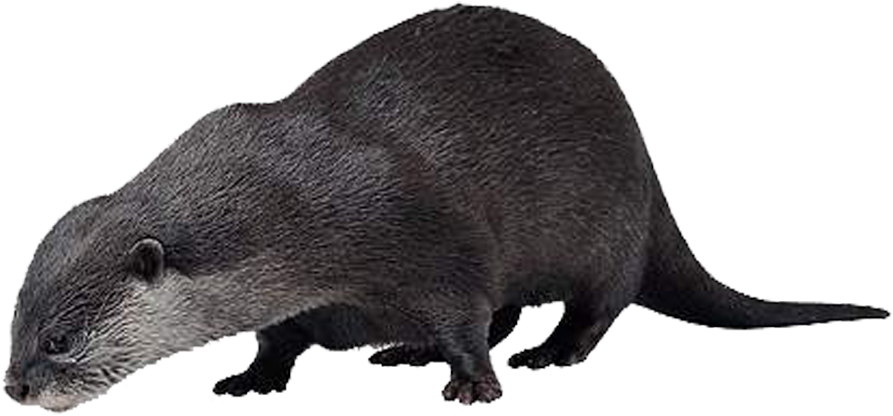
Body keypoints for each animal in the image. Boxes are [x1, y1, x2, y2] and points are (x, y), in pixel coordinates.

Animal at [4, 4, 888, 411]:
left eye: (61, 339)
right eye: (14, 324)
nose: (14, 387)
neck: (300, 212)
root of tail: (646, 163)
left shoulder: (427, 236)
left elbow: (464, 310)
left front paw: (474, 385)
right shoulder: (295, 300)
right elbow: (278, 340)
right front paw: (246, 378)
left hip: (606, 226)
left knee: (600, 303)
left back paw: (547, 355)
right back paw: (405, 352)